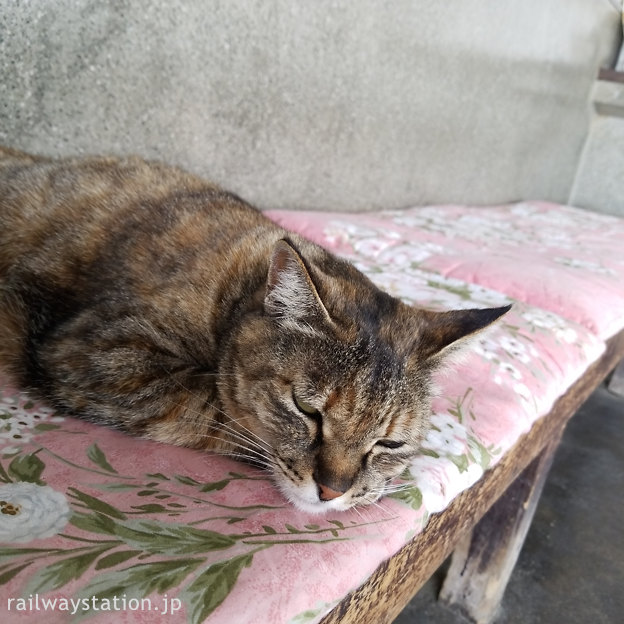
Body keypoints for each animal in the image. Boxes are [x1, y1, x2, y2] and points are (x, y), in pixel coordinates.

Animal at [0, 146, 510, 512]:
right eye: (307, 410)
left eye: (389, 442)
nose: (332, 492)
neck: (240, 286)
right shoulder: (96, 354)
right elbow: (210, 409)